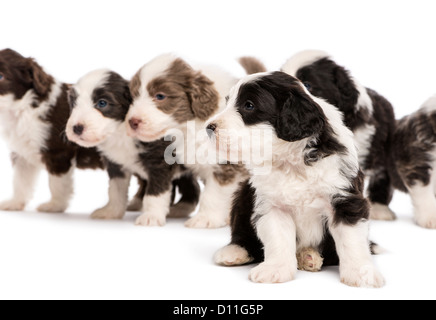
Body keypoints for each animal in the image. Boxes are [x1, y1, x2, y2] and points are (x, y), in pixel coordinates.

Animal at [0, 48, 104, 211]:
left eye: (1, 76)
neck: (22, 109)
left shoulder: (58, 152)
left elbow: (57, 183)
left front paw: (55, 205)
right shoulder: (22, 153)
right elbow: (20, 181)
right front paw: (15, 202)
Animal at [66, 69, 199, 225]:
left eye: (102, 103)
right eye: (74, 103)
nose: (76, 128)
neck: (121, 133)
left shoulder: (160, 164)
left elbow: (156, 192)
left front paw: (151, 216)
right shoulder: (116, 164)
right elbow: (115, 190)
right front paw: (112, 212)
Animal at [124, 53, 254, 228]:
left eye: (160, 96)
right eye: (134, 97)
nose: (132, 122)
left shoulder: (228, 165)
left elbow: (213, 194)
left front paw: (205, 218)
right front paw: (151, 214)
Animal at [209, 72, 384, 288]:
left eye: (249, 105)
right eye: (227, 102)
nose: (209, 128)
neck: (292, 162)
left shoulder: (346, 200)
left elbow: (352, 240)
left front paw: (361, 273)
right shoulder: (272, 205)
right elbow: (278, 239)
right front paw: (275, 269)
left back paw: (309, 256)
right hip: (244, 194)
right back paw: (235, 251)